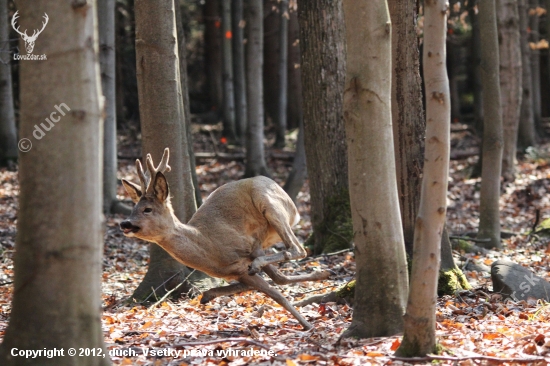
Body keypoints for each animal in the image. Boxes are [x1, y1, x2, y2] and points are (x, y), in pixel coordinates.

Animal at [121, 148, 330, 328]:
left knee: (297, 249)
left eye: (147, 209)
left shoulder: (245, 255)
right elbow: (266, 285)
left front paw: (308, 325)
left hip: (269, 203)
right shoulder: (239, 266)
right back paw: (323, 274)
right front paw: (207, 295)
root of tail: (295, 209)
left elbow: (275, 293)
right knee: (281, 274)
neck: (209, 249)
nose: (125, 223)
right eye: (133, 208)